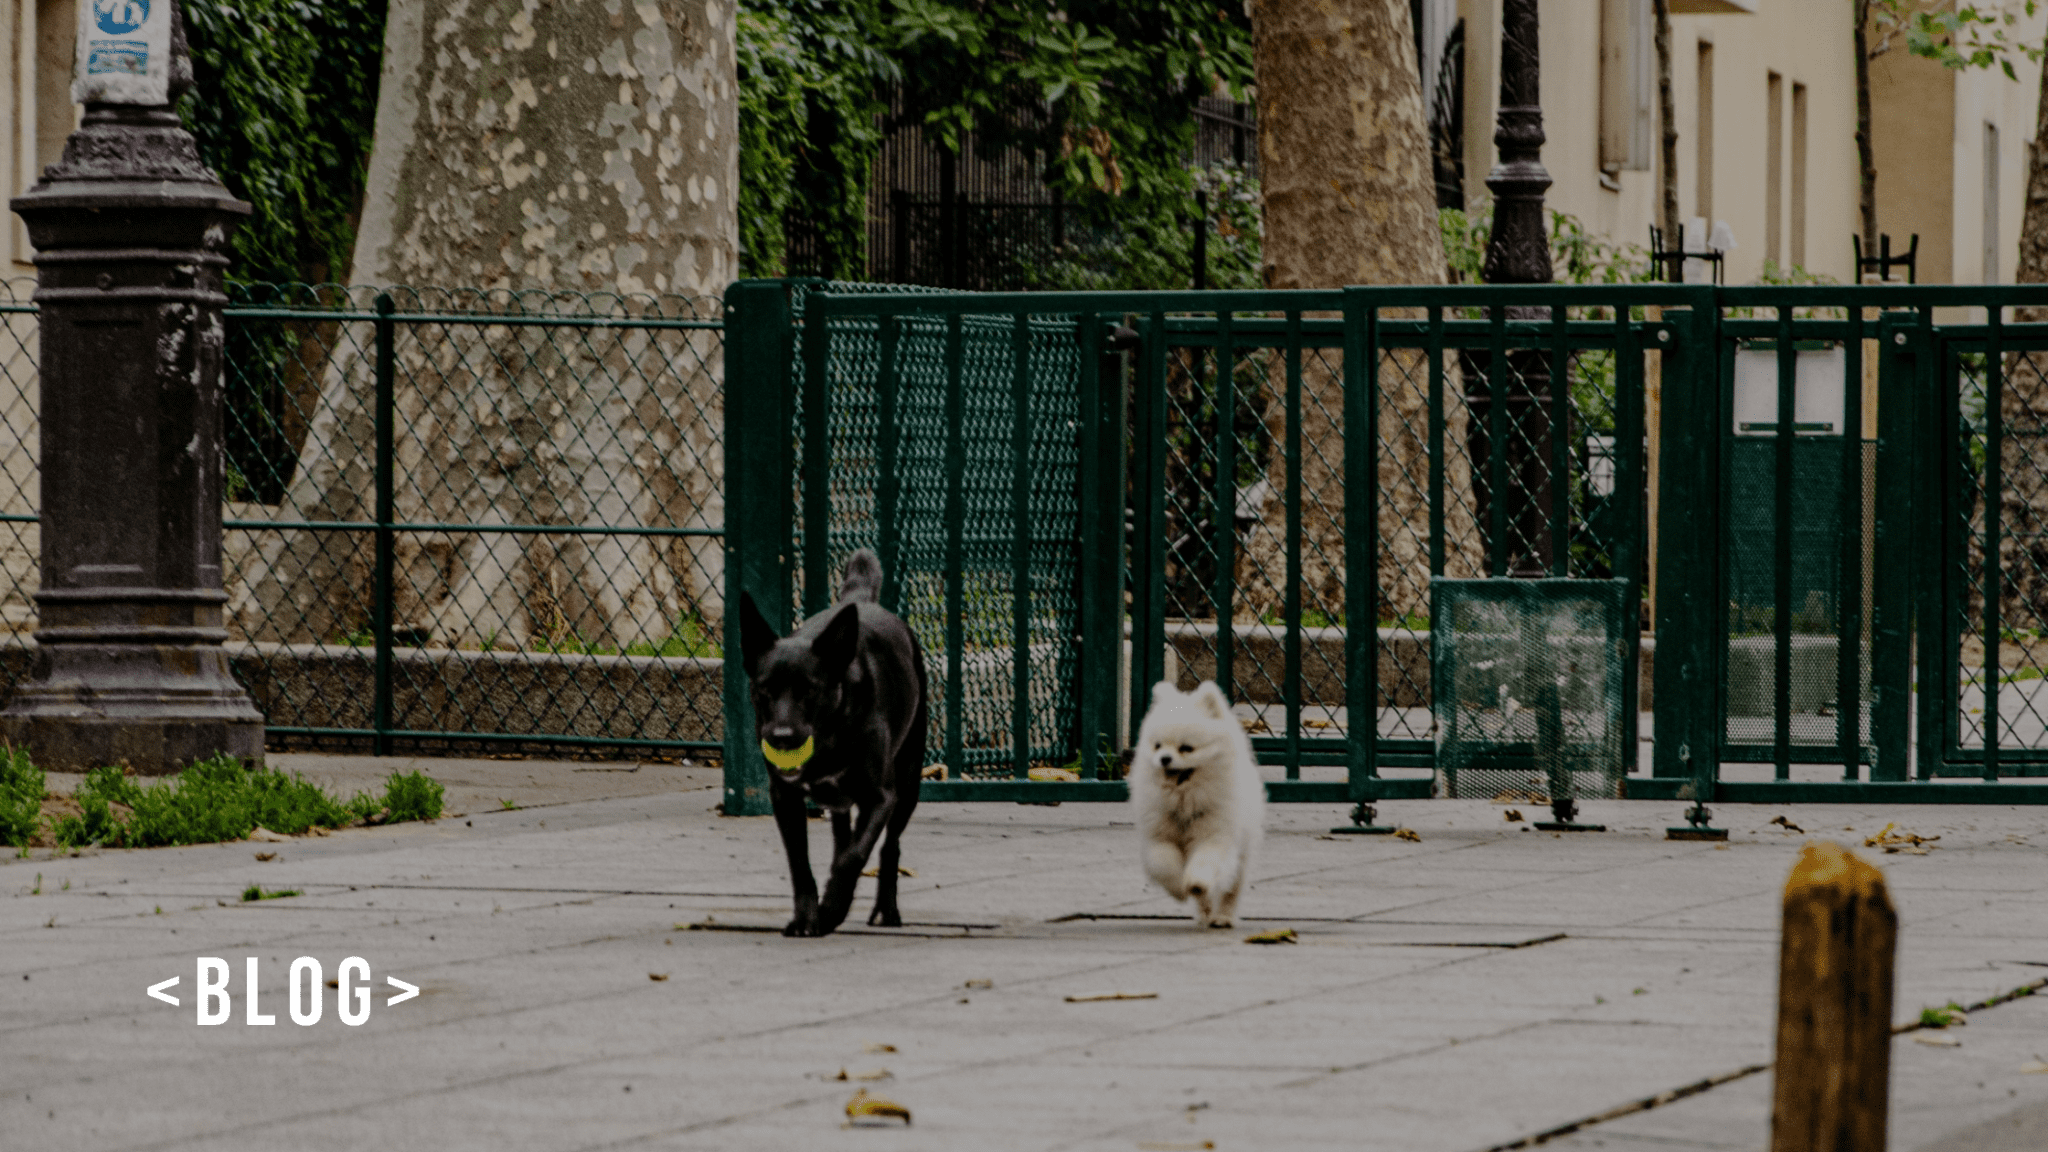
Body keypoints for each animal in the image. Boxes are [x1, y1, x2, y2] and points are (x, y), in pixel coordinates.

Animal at [737, 545, 929, 934]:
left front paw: (831, 910)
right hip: (842, 803)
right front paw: (807, 918)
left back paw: (886, 910)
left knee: (888, 848)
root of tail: (861, 600)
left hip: (908, 784)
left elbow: (854, 856)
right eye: (764, 690)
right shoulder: (784, 797)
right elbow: (800, 863)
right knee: (843, 838)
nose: (781, 738)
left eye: (809, 690)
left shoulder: (880, 798)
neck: (832, 732)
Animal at [1130, 676, 1253, 926]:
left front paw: (1196, 882)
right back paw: (1206, 913)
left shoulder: (1215, 835)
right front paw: (1179, 888)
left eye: (1186, 748)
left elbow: (1206, 861)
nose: (1164, 759)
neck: (1184, 799)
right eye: (1157, 746)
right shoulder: (1159, 836)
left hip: (1242, 849)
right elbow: (1163, 863)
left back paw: (1222, 916)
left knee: (1232, 889)